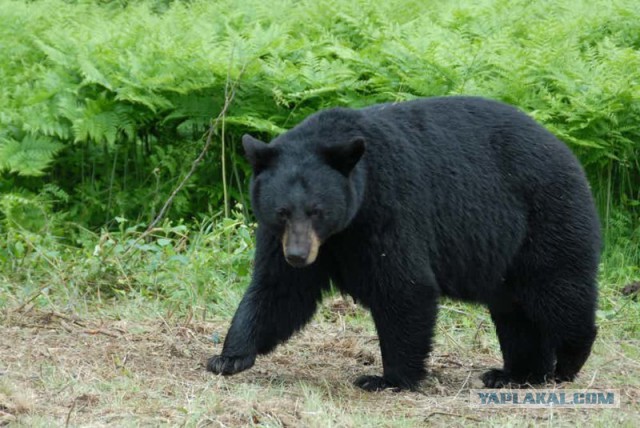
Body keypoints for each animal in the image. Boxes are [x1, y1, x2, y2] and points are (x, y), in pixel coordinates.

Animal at [208, 97, 604, 392]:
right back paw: (517, 374)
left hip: (545, 218)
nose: (298, 255)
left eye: (318, 211)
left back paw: (567, 361)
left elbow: (403, 286)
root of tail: (569, 154)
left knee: (557, 291)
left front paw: (387, 378)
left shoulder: (390, 209)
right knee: (515, 311)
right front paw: (228, 357)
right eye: (282, 211)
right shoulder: (285, 238)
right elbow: (279, 290)